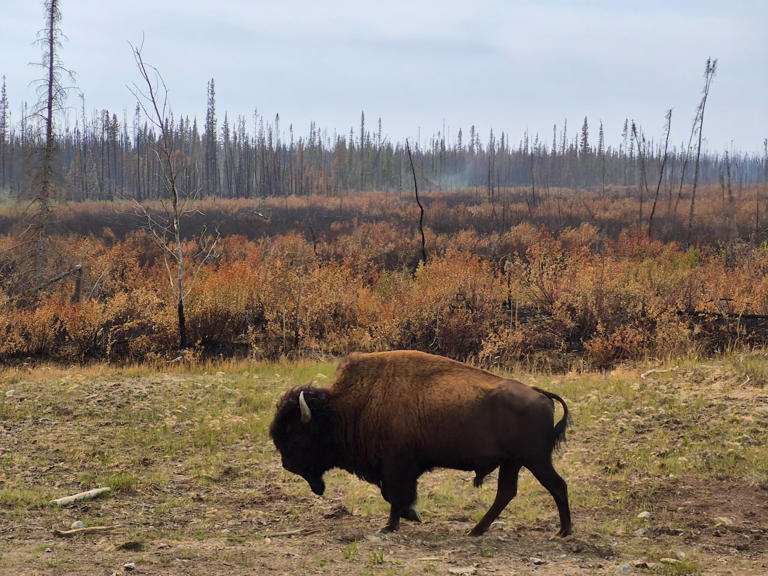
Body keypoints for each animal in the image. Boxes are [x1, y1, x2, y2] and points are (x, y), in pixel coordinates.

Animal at [269, 350, 572, 536]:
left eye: (296, 435)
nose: (287, 464)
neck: (344, 409)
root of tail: (540, 393)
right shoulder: (399, 468)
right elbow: (395, 495)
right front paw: (409, 516)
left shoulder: (396, 466)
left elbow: (394, 495)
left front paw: (392, 524)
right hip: (513, 463)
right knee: (506, 492)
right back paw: (475, 530)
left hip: (535, 460)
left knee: (556, 486)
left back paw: (562, 531)